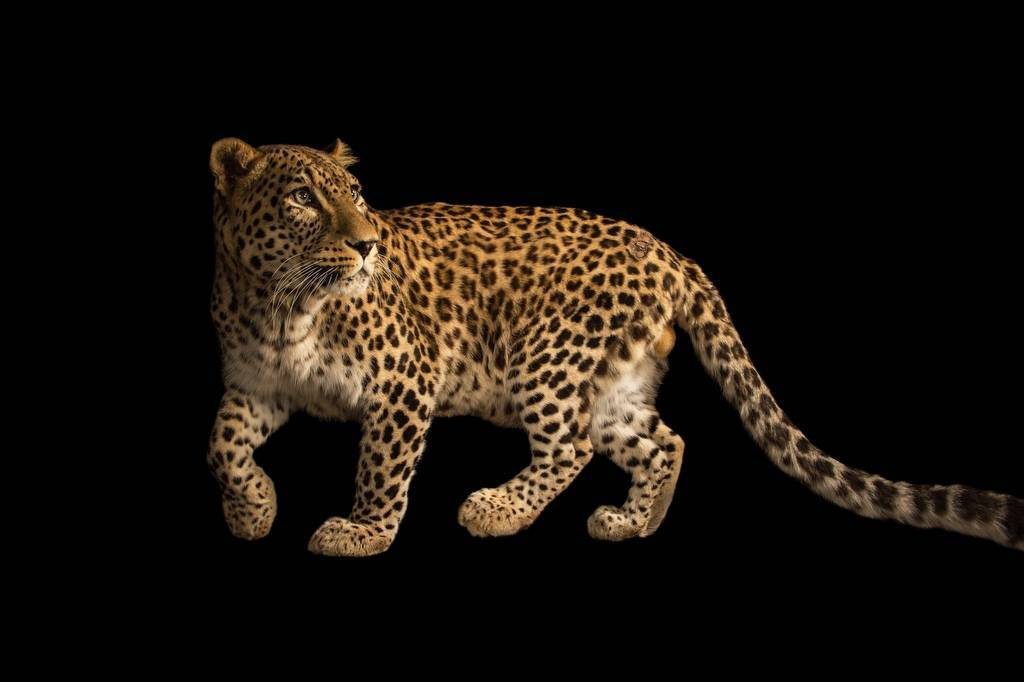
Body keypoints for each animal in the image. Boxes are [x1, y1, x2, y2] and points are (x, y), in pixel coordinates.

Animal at [207, 137, 1023, 556]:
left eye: (355, 195)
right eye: (303, 198)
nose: (368, 243)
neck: (276, 304)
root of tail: (666, 250)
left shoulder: (405, 378)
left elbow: (381, 465)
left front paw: (363, 531)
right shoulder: (254, 385)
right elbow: (220, 447)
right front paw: (253, 510)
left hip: (550, 355)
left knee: (568, 448)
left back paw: (499, 510)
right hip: (613, 380)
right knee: (666, 440)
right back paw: (635, 523)